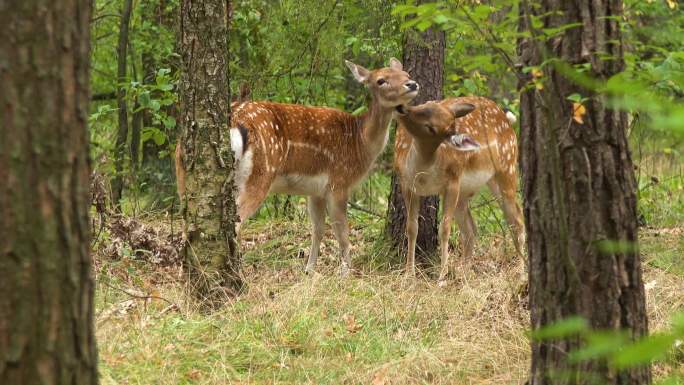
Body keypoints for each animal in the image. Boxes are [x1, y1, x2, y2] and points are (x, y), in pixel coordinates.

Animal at [175, 57, 416, 274]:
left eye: (406, 74)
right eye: (381, 80)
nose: (412, 84)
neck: (360, 143)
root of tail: (235, 120)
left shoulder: (316, 191)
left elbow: (318, 229)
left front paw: (309, 270)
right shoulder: (339, 182)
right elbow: (342, 232)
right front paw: (346, 272)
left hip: (183, 176)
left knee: (188, 227)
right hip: (259, 174)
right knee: (235, 225)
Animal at [392, 96, 528, 282]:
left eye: (431, 127)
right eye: (424, 106)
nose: (402, 109)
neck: (423, 172)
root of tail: (507, 120)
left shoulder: (452, 181)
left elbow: (444, 229)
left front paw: (441, 277)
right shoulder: (407, 184)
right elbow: (412, 227)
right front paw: (408, 275)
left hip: (507, 168)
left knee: (517, 221)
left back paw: (520, 273)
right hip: (466, 192)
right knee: (471, 229)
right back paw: (463, 273)